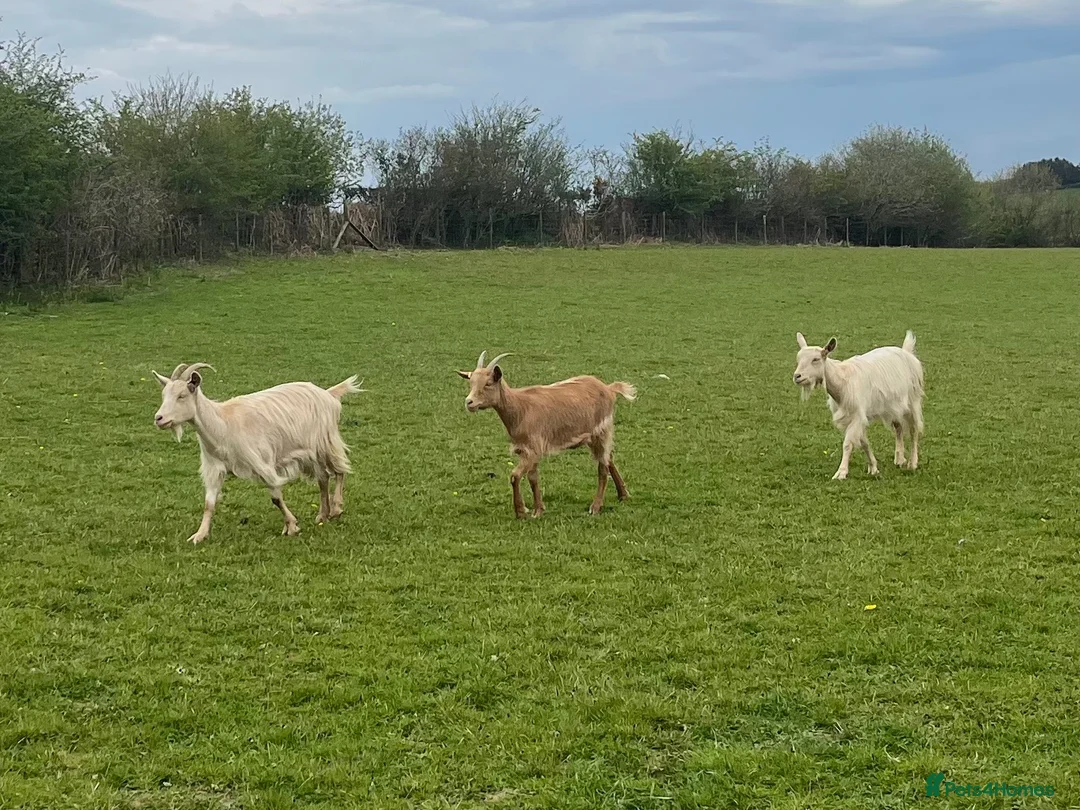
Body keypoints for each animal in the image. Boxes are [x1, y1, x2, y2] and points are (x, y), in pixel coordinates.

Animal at [153, 363, 363, 543]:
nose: (159, 418)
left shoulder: (262, 463)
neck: (223, 425)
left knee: (339, 470)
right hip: (311, 454)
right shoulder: (214, 467)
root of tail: (328, 394)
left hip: (325, 442)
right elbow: (209, 503)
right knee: (323, 478)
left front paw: (291, 526)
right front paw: (199, 535)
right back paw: (322, 514)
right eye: (163, 395)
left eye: (182, 395)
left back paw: (336, 508)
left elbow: (275, 498)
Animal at [457, 351, 636, 519]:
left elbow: (515, 476)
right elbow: (533, 478)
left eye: (488, 383)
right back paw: (623, 495)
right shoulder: (526, 450)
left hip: (601, 432)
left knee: (602, 467)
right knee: (609, 459)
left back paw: (596, 507)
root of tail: (608, 388)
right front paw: (538, 510)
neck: (520, 407)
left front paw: (521, 511)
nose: (469, 402)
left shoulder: (533, 449)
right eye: (471, 383)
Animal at [792, 331, 924, 480]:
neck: (842, 381)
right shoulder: (853, 417)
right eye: (798, 359)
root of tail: (907, 352)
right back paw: (900, 459)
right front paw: (873, 468)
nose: (797, 376)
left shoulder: (857, 415)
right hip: (893, 406)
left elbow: (848, 443)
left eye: (815, 359)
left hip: (913, 400)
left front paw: (841, 472)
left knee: (914, 429)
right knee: (899, 428)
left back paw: (912, 463)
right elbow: (864, 442)